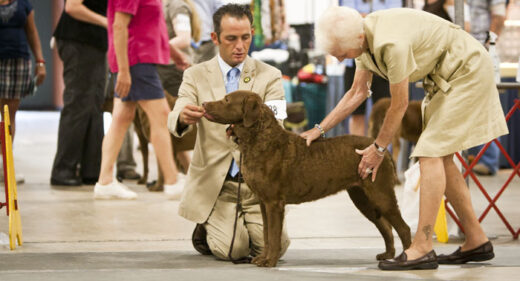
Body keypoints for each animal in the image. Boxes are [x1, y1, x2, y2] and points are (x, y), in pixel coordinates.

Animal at [203, 90, 410, 266]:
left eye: (226, 100)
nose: (204, 103)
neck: (260, 139)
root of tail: (382, 151)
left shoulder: (274, 203)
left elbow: (274, 235)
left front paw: (269, 261)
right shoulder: (263, 201)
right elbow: (266, 234)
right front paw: (262, 258)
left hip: (381, 193)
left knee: (403, 228)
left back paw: (406, 258)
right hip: (362, 197)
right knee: (386, 226)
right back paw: (388, 254)